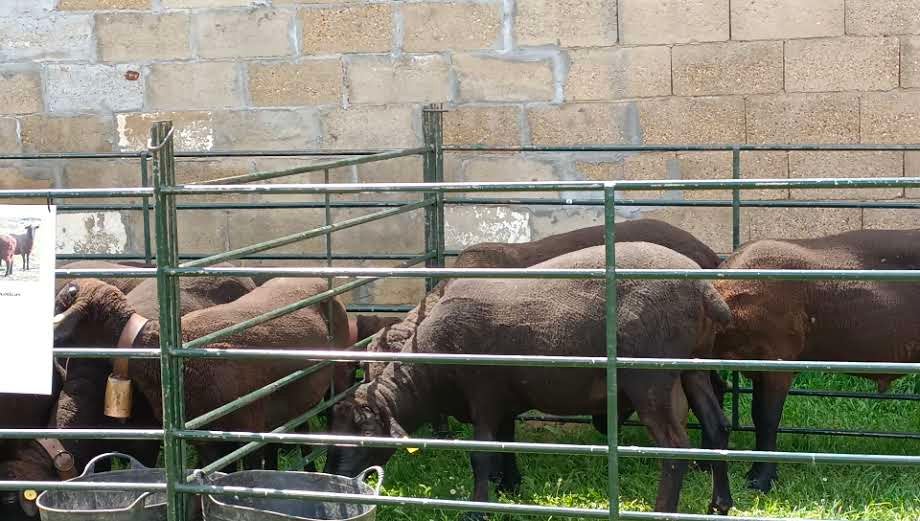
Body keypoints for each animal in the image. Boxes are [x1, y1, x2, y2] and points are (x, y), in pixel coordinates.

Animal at [324, 242, 732, 512]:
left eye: (364, 432)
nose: (333, 482)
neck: (430, 372)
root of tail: (705, 290)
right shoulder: (505, 398)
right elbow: (508, 442)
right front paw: (511, 488)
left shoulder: (484, 393)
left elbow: (481, 455)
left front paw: (480, 506)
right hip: (694, 363)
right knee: (717, 426)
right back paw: (720, 503)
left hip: (650, 377)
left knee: (675, 447)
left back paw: (663, 509)